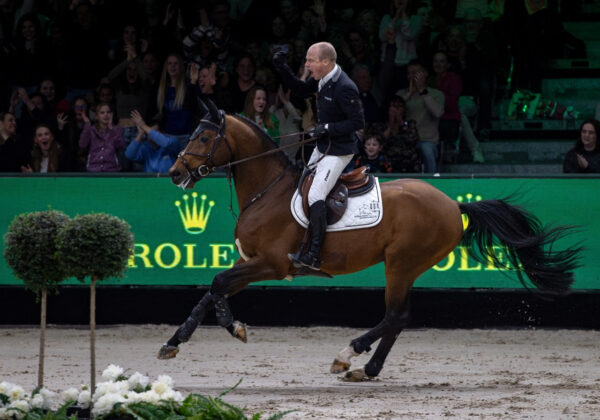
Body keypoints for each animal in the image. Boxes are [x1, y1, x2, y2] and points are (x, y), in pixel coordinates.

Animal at [158, 100, 580, 382]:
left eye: (204, 136)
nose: (175, 172)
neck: (267, 190)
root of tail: (451, 203)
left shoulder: (273, 264)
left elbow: (217, 284)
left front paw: (233, 327)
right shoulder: (253, 263)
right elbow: (212, 289)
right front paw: (176, 342)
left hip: (401, 264)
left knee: (396, 316)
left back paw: (349, 357)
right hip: (405, 266)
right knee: (397, 318)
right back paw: (367, 368)